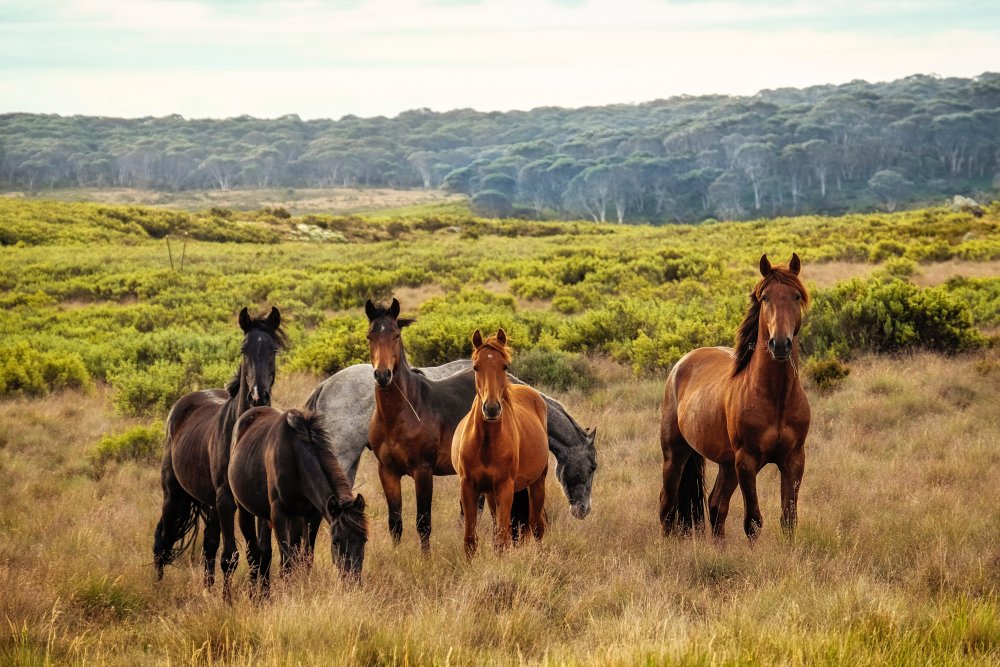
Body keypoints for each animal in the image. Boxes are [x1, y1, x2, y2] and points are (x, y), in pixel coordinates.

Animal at [152, 306, 285, 594]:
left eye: (274, 349)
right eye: (244, 348)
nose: (258, 396)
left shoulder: (257, 502)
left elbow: (262, 553)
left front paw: (262, 595)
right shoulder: (226, 500)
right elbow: (231, 556)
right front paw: (229, 600)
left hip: (209, 503)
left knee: (208, 545)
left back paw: (208, 588)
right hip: (174, 495)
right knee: (162, 539)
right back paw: (156, 587)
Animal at [228, 407, 368, 594]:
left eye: (364, 540)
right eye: (335, 541)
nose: (352, 582)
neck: (295, 457)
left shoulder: (312, 515)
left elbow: (305, 558)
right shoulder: (279, 514)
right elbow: (286, 562)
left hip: (277, 517)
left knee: (267, 553)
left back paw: (265, 594)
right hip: (245, 511)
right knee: (253, 554)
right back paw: (254, 595)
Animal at [452, 329, 548, 557]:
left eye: (504, 366)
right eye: (476, 366)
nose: (492, 408)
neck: (486, 443)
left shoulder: (505, 488)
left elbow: (502, 539)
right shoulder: (469, 487)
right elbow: (470, 539)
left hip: (537, 483)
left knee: (537, 526)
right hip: (490, 493)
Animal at [659, 253, 811, 541]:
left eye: (796, 296)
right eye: (765, 298)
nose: (780, 344)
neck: (776, 397)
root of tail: (682, 363)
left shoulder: (794, 459)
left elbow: (789, 519)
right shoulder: (747, 462)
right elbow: (753, 521)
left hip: (726, 464)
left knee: (716, 505)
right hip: (675, 454)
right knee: (667, 505)